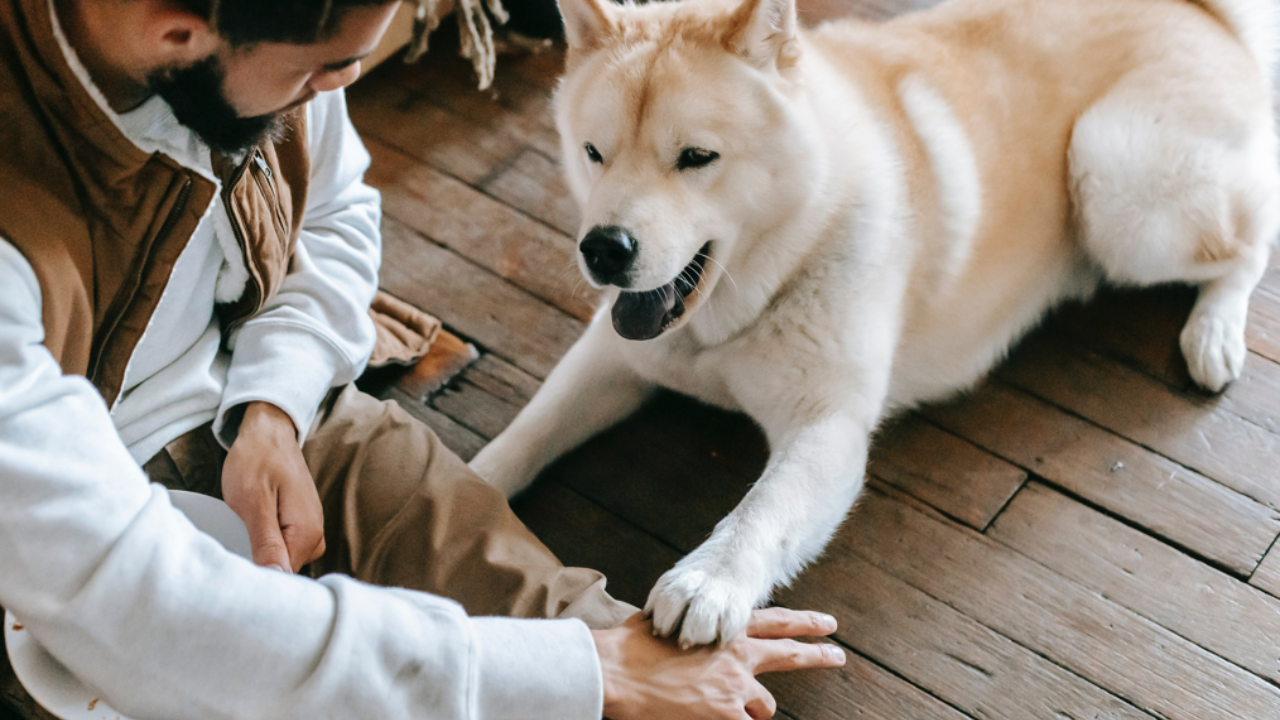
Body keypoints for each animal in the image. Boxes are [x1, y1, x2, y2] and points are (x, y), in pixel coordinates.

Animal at [471, 0, 1280, 645]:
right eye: (594, 153)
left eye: (697, 157)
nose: (604, 248)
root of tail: (1202, 12)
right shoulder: (612, 355)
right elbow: (529, 431)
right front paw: (467, 486)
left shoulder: (827, 425)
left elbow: (762, 510)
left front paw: (710, 583)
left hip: (1114, 181)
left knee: (1250, 243)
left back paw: (1213, 333)